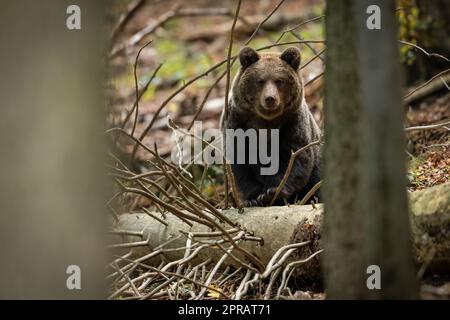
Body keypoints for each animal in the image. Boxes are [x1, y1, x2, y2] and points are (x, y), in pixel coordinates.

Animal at [221, 46, 320, 206]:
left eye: (279, 80)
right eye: (260, 80)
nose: (270, 98)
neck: (266, 121)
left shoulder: (292, 124)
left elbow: (296, 158)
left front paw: (274, 192)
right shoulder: (237, 123)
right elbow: (240, 161)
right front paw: (255, 197)